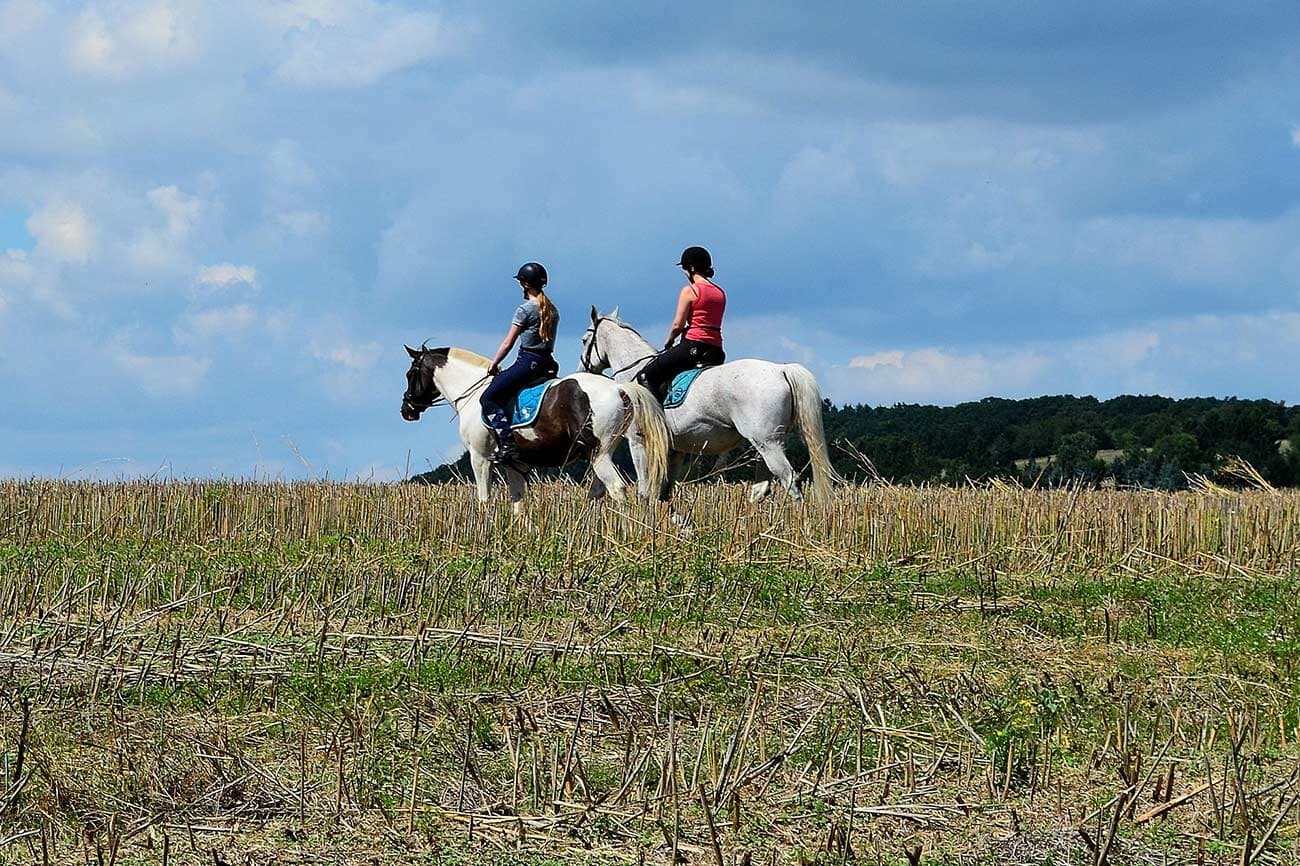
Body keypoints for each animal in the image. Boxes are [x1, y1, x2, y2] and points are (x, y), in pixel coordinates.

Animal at [400, 345, 671, 512]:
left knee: (617, 489)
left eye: (410, 374)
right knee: (598, 491)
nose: (407, 410)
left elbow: (484, 500)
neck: (473, 393)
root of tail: (618, 388)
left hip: (599, 453)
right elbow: (519, 502)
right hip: (603, 453)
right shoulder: (514, 463)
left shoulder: (480, 458)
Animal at [579, 308, 841, 502]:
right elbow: (664, 492)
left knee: (790, 480)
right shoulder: (676, 450)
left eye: (583, 340)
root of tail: (781, 369)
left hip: (768, 444)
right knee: (762, 488)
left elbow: (645, 491)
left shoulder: (638, 442)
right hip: (767, 444)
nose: (583, 368)